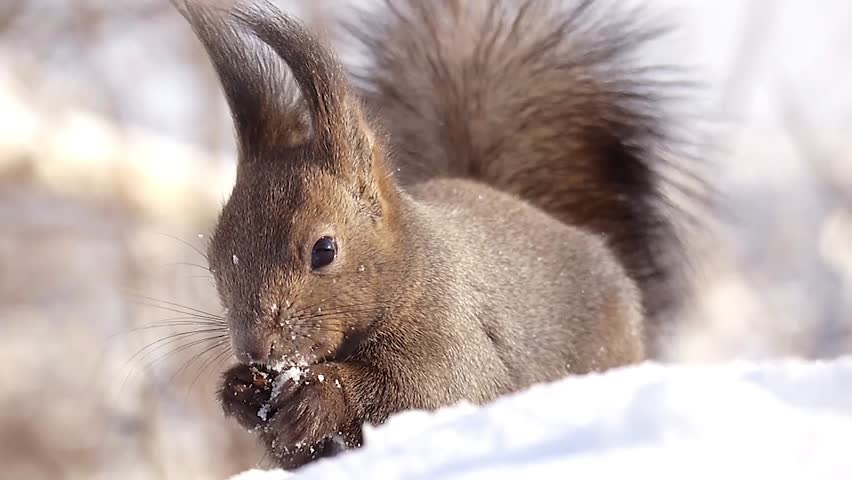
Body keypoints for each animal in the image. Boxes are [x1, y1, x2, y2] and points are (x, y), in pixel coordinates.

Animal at [175, 0, 700, 470]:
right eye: (215, 260)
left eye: (324, 250)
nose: (255, 349)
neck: (412, 272)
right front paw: (240, 390)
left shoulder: (457, 338)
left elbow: (428, 395)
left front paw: (318, 396)